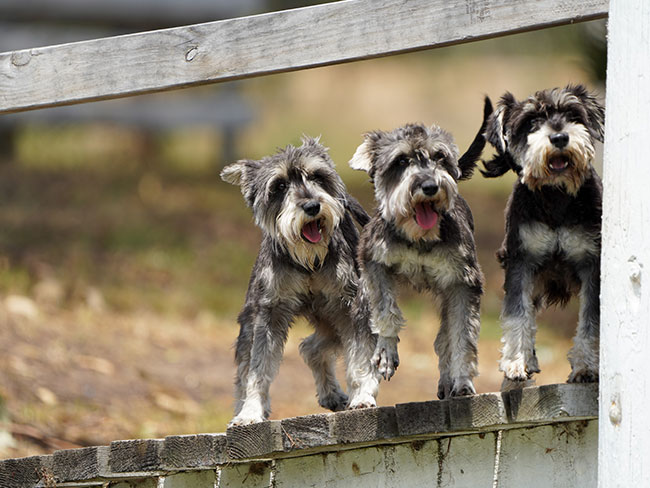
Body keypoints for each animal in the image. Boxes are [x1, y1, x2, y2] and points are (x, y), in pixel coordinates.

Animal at [221, 137, 378, 428]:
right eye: (279, 186)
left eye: (317, 176)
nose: (312, 206)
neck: (308, 262)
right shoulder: (268, 314)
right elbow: (257, 369)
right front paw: (250, 412)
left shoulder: (352, 306)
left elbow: (360, 355)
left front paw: (362, 395)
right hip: (254, 322)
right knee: (255, 365)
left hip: (332, 315)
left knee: (312, 347)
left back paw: (334, 394)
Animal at [346, 102, 488, 396]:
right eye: (401, 161)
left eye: (439, 157)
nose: (430, 186)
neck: (419, 238)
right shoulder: (374, 264)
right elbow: (386, 311)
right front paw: (387, 352)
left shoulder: (463, 284)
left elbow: (462, 336)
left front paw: (463, 382)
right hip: (362, 298)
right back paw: (362, 395)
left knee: (444, 339)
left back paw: (448, 382)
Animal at [480, 84, 604, 388]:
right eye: (531, 121)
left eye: (572, 115)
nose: (559, 137)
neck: (556, 194)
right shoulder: (521, 261)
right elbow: (518, 314)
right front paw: (516, 363)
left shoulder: (591, 264)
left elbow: (590, 321)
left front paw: (586, 367)